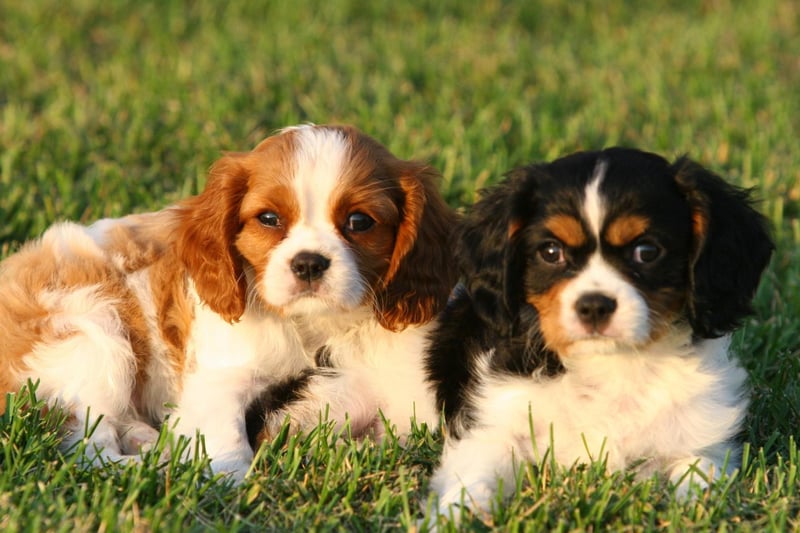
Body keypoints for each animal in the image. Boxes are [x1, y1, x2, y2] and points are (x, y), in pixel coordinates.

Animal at [428, 148, 772, 512]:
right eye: (551, 252)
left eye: (647, 252)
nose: (594, 306)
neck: (613, 363)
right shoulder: (493, 426)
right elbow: (475, 480)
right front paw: (453, 515)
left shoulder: (702, 437)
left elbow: (700, 473)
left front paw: (698, 504)